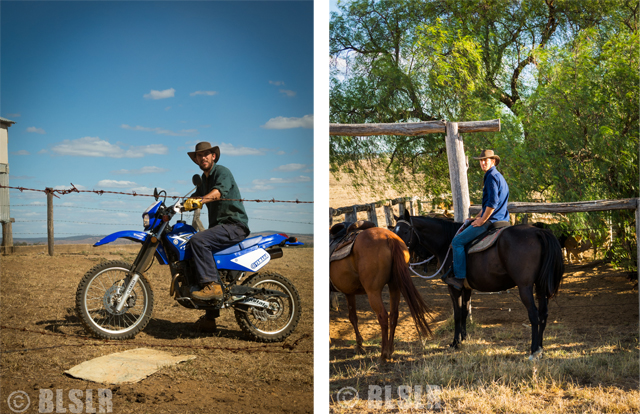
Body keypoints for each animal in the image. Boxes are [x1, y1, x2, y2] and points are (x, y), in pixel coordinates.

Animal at [330, 225, 436, 360]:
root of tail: (389, 237)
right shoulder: (349, 292)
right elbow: (353, 317)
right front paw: (359, 346)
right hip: (394, 286)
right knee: (394, 315)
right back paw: (390, 350)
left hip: (373, 292)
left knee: (383, 316)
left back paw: (383, 354)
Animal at [392, 210, 564, 360]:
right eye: (394, 230)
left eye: (406, 231)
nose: (398, 251)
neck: (447, 242)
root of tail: (538, 232)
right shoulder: (466, 287)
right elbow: (464, 312)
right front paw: (464, 338)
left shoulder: (453, 287)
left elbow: (456, 314)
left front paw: (455, 343)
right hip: (540, 286)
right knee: (543, 314)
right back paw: (540, 348)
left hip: (525, 287)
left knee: (534, 315)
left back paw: (534, 350)